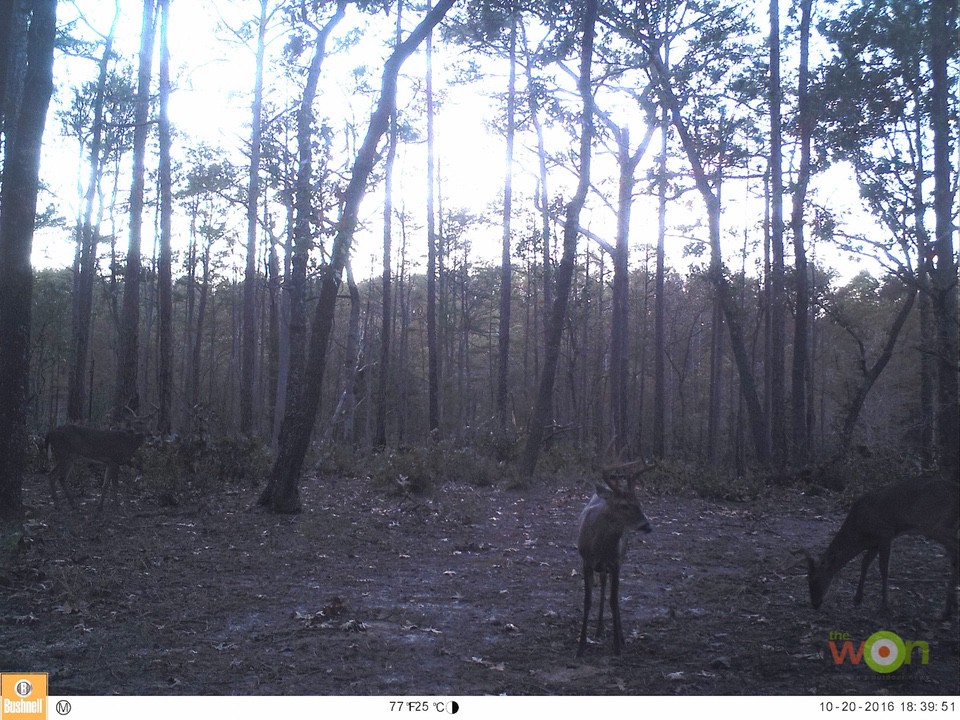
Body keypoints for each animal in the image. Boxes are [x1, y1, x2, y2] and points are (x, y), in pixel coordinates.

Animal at [572, 462, 656, 660]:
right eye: (624, 505)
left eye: (639, 502)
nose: (647, 525)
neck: (600, 546)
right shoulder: (586, 562)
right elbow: (587, 601)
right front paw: (581, 647)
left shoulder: (616, 562)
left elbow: (614, 600)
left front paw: (617, 646)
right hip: (601, 566)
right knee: (603, 583)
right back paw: (599, 629)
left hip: (620, 557)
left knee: (613, 594)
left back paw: (620, 636)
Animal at [804, 476, 960, 620]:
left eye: (814, 580)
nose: (815, 604)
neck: (859, 532)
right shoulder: (875, 543)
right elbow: (865, 563)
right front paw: (857, 598)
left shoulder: (885, 533)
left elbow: (883, 569)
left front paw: (884, 605)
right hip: (946, 524)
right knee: (954, 556)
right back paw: (950, 608)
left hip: (934, 524)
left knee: (955, 548)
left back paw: (947, 609)